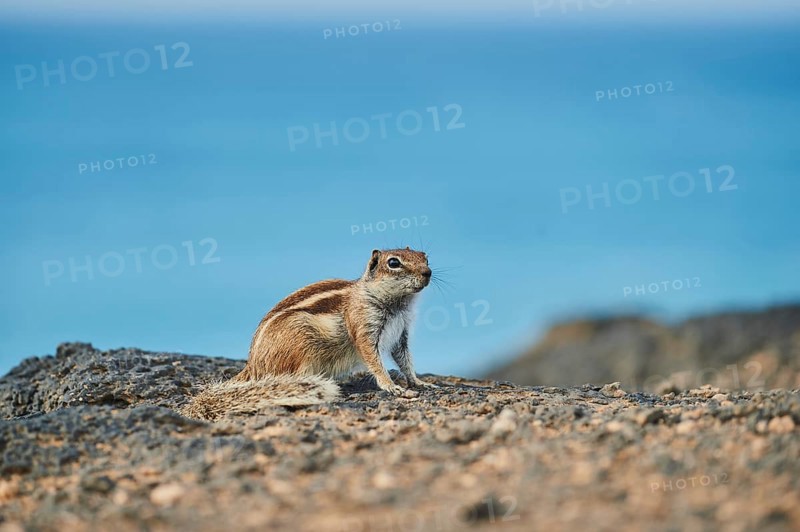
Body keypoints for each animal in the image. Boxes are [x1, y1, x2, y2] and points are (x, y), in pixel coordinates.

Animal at [181, 248, 435, 420]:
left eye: (425, 256)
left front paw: (419, 382)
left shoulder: (401, 334)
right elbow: (373, 360)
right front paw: (393, 387)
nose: (428, 272)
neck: (397, 304)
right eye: (393, 263)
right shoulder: (364, 327)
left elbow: (405, 360)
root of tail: (252, 366)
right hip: (302, 347)